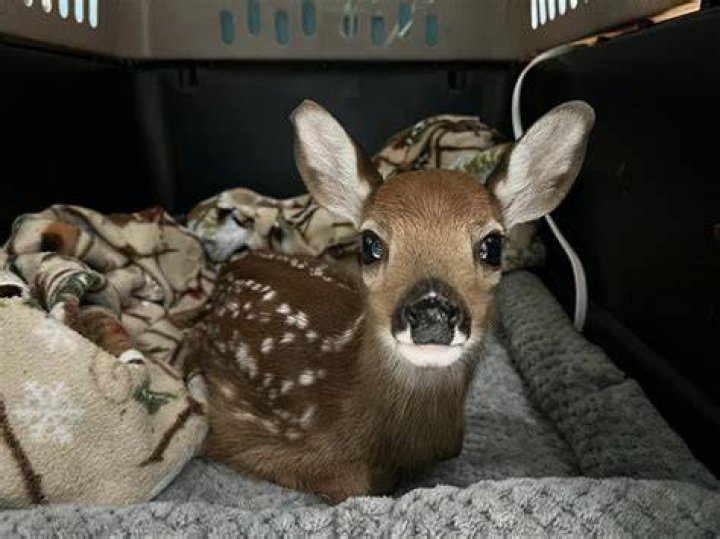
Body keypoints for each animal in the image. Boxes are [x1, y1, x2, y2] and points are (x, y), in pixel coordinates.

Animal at [189, 99, 594, 503]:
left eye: (493, 246)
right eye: (370, 244)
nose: (432, 312)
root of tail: (236, 262)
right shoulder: (260, 440)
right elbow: (355, 483)